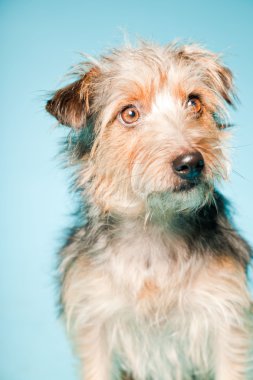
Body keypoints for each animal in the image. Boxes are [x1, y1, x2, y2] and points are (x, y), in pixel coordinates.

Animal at [46, 41, 253, 380]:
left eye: (194, 102)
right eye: (130, 113)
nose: (192, 163)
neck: (154, 227)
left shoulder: (226, 318)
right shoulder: (95, 321)